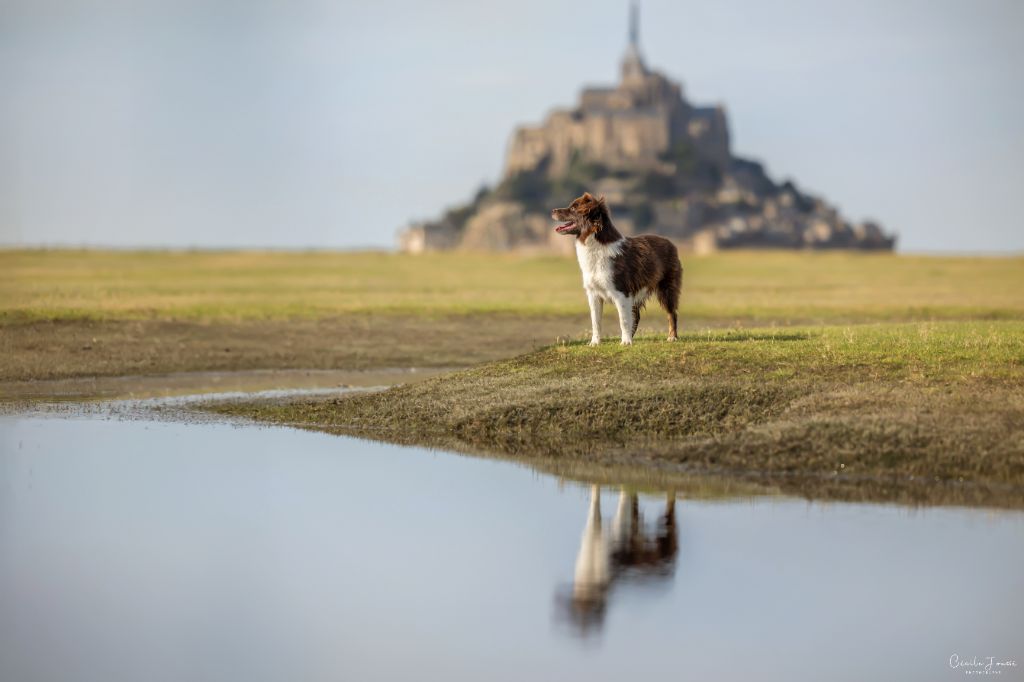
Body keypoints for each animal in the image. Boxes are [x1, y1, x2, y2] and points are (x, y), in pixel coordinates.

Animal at [548, 192, 684, 346]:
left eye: (573, 208)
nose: (552, 210)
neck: (595, 246)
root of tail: (671, 242)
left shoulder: (621, 292)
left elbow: (623, 320)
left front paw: (625, 342)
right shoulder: (593, 294)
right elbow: (596, 322)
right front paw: (595, 343)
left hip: (667, 288)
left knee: (671, 313)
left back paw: (672, 337)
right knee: (636, 316)